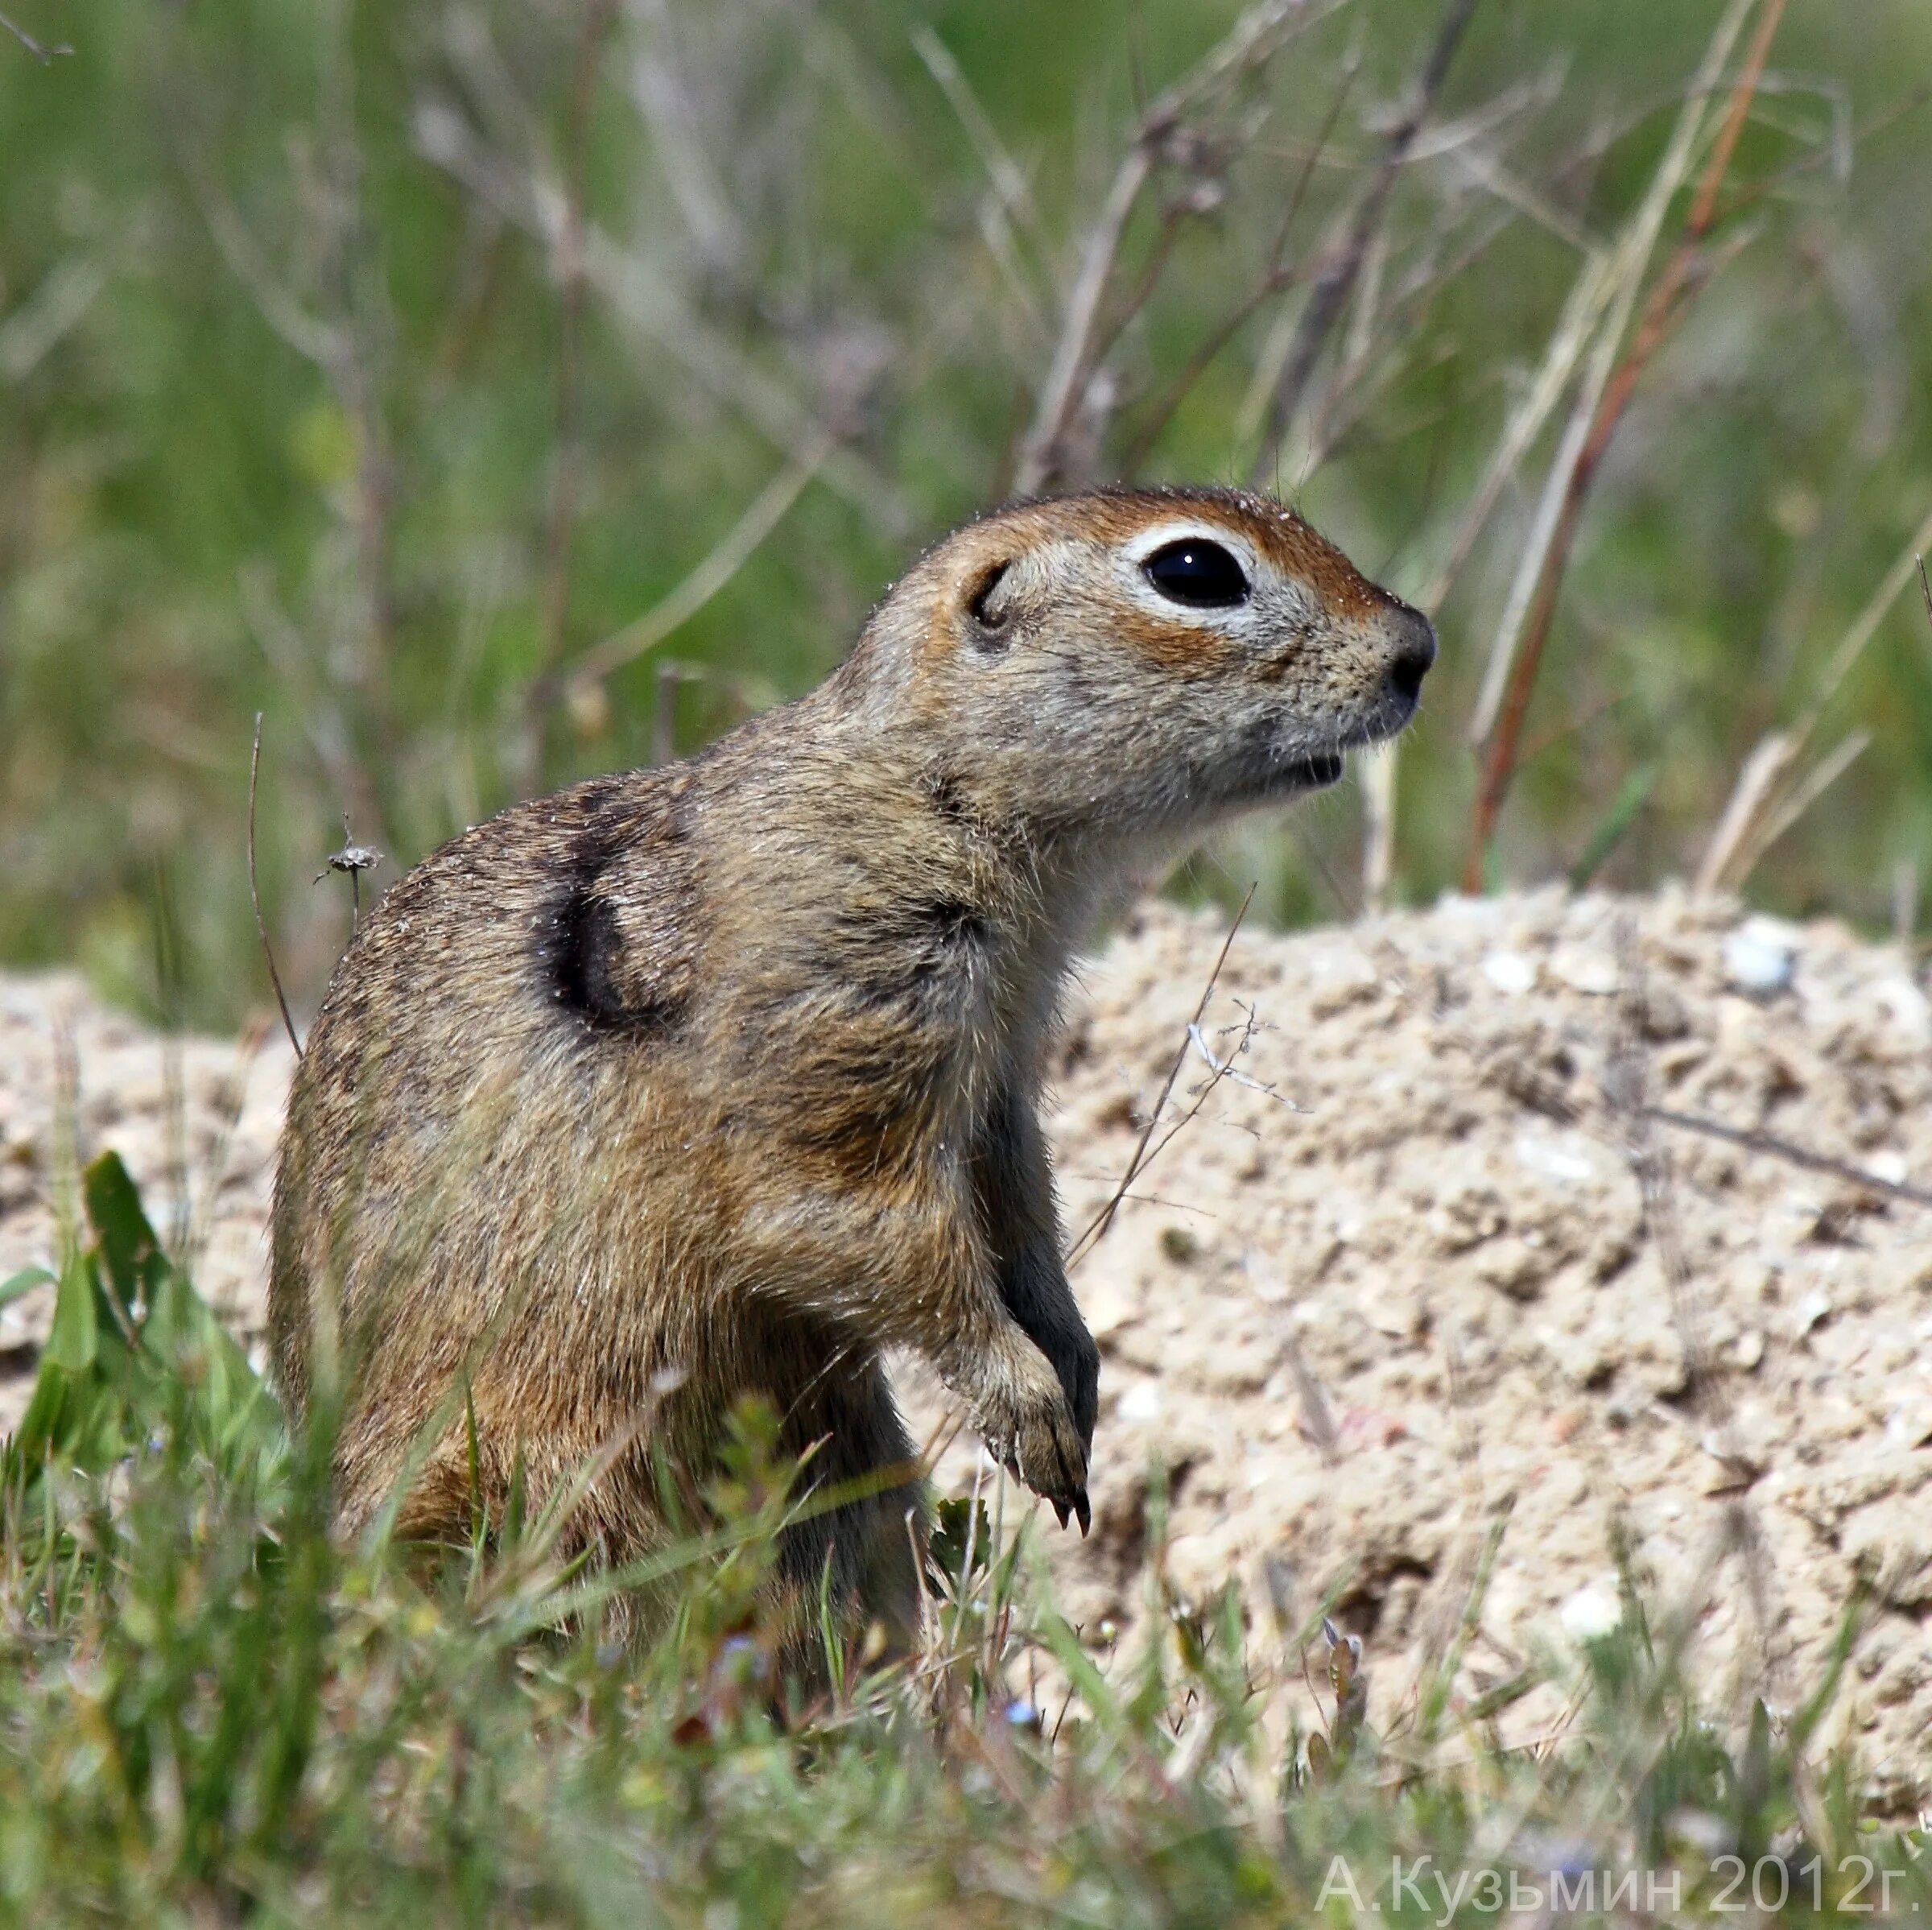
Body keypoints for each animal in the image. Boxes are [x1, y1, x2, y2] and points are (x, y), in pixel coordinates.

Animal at [280, 482, 1445, 1646]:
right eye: (1195, 571)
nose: (1420, 648)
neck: (925, 788)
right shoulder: (840, 1017)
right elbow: (846, 1220)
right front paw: (1029, 1406)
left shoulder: (998, 1074)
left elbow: (1019, 1208)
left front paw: (1075, 1363)